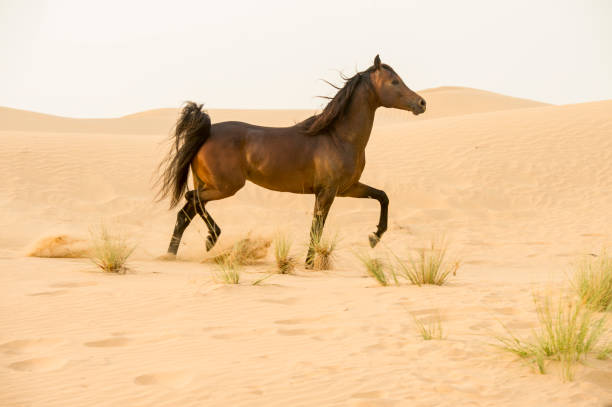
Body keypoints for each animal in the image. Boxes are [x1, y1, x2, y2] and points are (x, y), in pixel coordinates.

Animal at [157, 55, 426, 268]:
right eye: (394, 81)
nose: (421, 103)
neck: (338, 137)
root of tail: (208, 131)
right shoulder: (327, 192)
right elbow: (317, 228)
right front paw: (309, 263)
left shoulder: (347, 188)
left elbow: (383, 197)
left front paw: (374, 237)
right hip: (225, 187)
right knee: (191, 201)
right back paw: (211, 238)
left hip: (210, 185)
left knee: (185, 213)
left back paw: (171, 255)